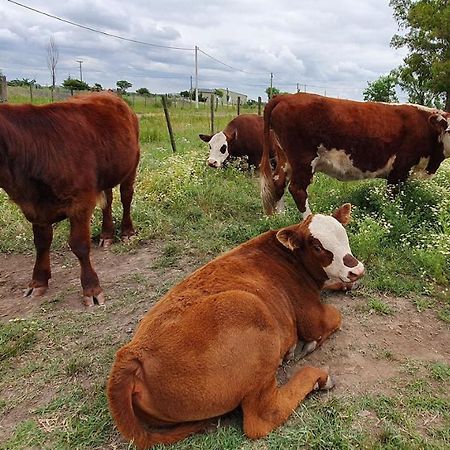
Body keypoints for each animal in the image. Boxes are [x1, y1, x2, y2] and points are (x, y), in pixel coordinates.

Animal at [0, 92, 141, 306]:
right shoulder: (35, 208)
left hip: (131, 165)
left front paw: (91, 288)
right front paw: (38, 281)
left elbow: (79, 244)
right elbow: (41, 242)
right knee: (108, 201)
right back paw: (106, 234)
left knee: (126, 197)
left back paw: (127, 232)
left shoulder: (80, 202)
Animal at [107, 205, 364, 450]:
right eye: (318, 247)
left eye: (344, 234)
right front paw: (308, 344)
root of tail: (132, 353)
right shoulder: (312, 317)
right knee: (262, 418)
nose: (357, 270)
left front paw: (344, 284)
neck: (290, 259)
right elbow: (334, 318)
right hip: (253, 312)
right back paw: (318, 376)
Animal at [260, 92, 450, 215]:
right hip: (303, 161)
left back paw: (280, 218)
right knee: (297, 190)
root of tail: (285, 96)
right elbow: (391, 199)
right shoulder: (399, 171)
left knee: (278, 182)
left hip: (286, 160)